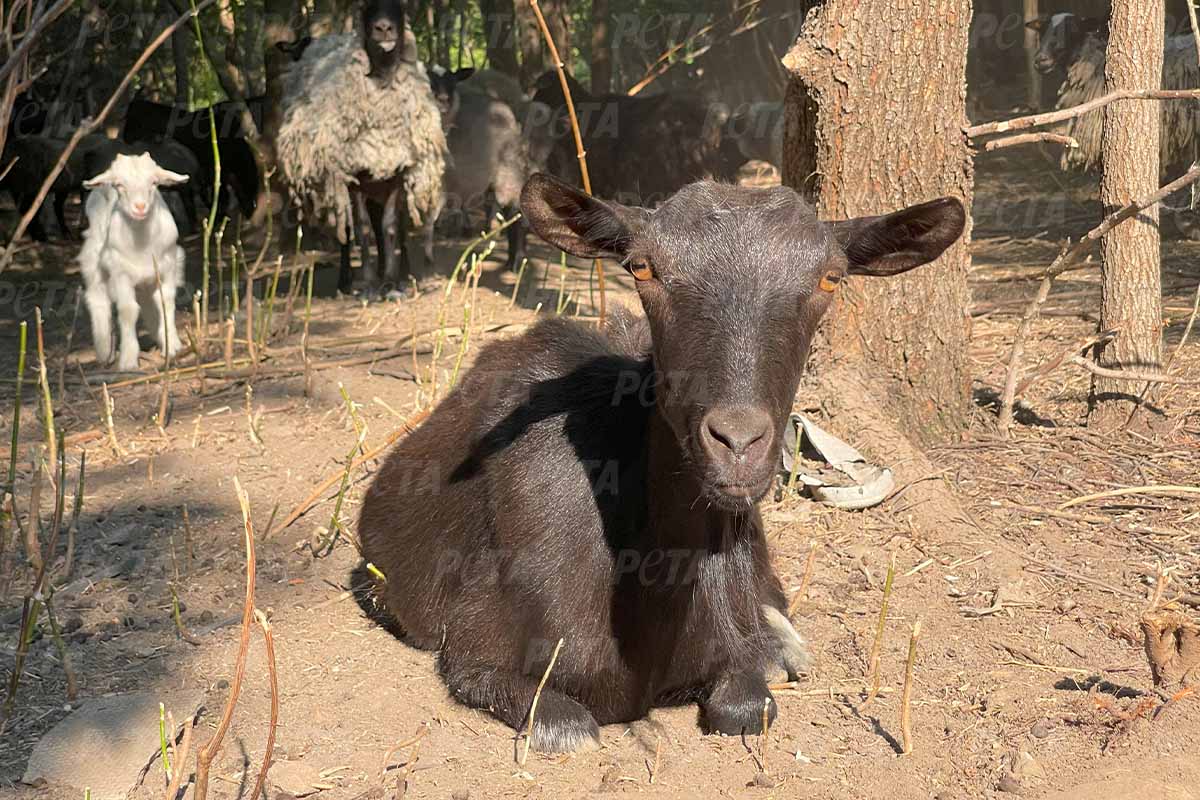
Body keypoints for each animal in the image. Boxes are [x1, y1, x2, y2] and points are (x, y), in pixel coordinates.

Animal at [357, 172, 964, 753]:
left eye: (831, 278)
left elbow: (749, 703)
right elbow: (566, 724)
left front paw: (768, 654)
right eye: (644, 267)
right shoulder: (476, 649)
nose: (738, 443)